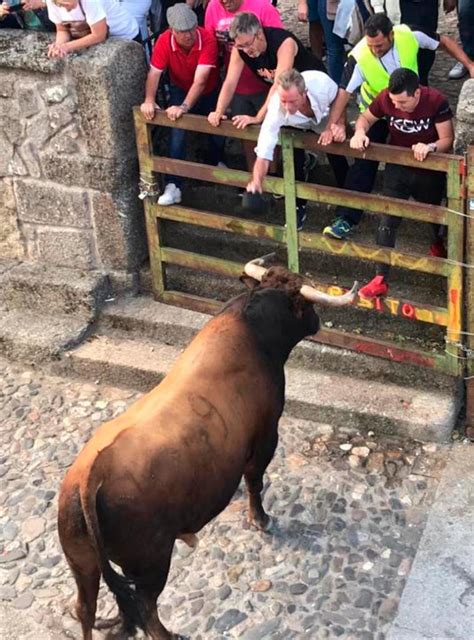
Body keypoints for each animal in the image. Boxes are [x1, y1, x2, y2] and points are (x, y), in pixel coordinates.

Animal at [58, 258, 356, 636]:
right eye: (306, 303)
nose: (317, 323)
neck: (252, 328)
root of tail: (89, 477)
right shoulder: (266, 434)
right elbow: (254, 480)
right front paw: (261, 519)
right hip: (151, 561)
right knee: (146, 607)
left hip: (82, 562)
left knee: (87, 607)